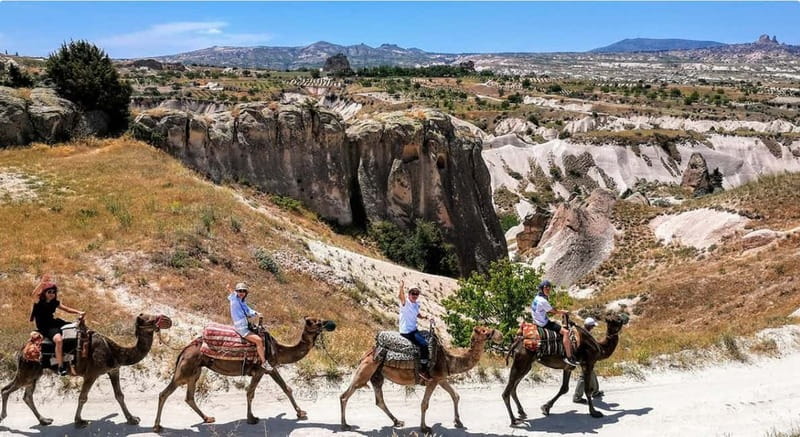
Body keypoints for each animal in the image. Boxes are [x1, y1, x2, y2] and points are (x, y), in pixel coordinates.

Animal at [1, 313, 172, 428]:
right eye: (151, 319)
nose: (169, 320)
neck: (115, 352)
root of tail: (23, 348)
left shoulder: (114, 370)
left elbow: (119, 395)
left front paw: (132, 419)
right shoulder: (92, 373)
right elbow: (83, 397)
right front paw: (79, 421)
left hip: (34, 373)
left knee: (27, 395)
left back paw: (44, 420)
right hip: (28, 370)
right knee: (6, 390)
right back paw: (4, 417)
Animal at [153, 316, 335, 432]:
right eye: (316, 322)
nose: (330, 323)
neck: (278, 349)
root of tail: (185, 349)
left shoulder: (271, 367)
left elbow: (286, 388)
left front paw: (301, 413)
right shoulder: (261, 369)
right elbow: (250, 392)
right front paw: (251, 418)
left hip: (195, 371)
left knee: (189, 397)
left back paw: (208, 418)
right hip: (185, 370)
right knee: (164, 393)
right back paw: (157, 427)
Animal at [340, 326, 503, 434]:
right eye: (484, 330)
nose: (500, 334)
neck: (448, 359)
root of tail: (367, 352)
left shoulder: (441, 378)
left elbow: (455, 395)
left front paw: (458, 422)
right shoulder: (433, 380)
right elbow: (424, 404)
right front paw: (424, 428)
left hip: (377, 374)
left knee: (379, 400)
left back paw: (397, 421)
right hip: (366, 369)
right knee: (345, 396)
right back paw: (345, 425)